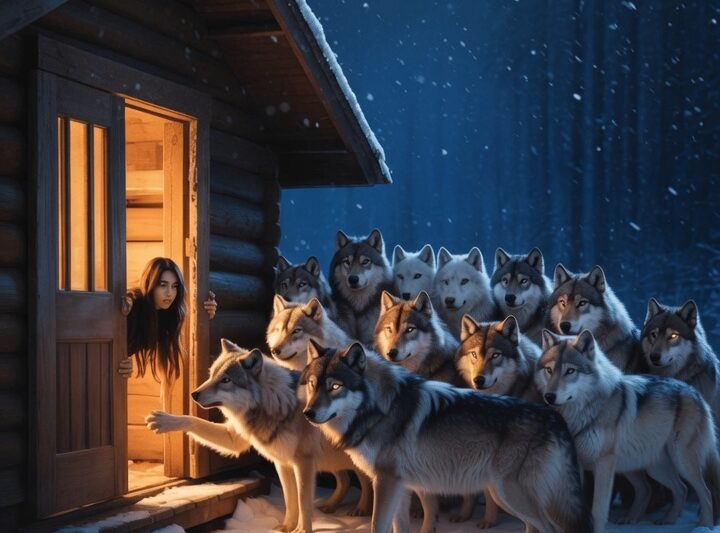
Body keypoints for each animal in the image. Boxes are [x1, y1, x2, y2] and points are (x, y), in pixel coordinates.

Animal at [145, 339, 372, 531]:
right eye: (211, 374)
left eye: (226, 380)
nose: (194, 394)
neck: (274, 404)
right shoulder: (278, 461)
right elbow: (290, 500)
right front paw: (286, 527)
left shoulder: (303, 464)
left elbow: (303, 502)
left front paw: (302, 530)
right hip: (333, 460)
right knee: (345, 480)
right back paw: (332, 506)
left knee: (363, 479)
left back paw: (361, 509)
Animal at [301, 340, 593, 533]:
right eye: (314, 385)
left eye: (335, 387)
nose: (308, 413)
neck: (381, 408)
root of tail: (554, 416)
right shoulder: (400, 486)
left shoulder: (386, 482)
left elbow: (377, 525)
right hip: (507, 496)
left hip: (508, 494)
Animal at [538, 329, 720, 532]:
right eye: (549, 370)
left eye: (570, 371)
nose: (549, 396)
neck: (582, 413)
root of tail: (694, 392)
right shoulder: (578, 466)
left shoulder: (604, 464)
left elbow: (599, 509)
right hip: (648, 467)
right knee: (672, 488)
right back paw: (656, 520)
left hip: (681, 461)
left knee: (703, 492)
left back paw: (705, 525)